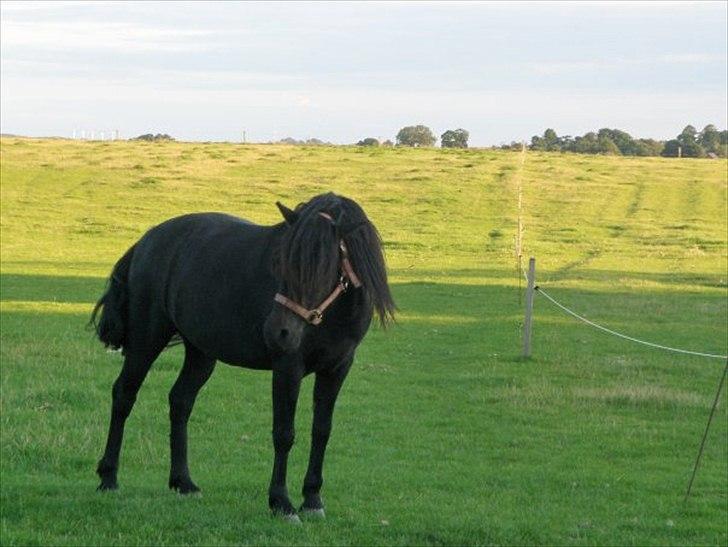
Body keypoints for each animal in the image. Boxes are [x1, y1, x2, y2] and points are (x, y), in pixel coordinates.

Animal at [90, 192, 395, 520]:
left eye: (322, 267)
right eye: (281, 262)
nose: (277, 331)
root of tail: (148, 239)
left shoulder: (337, 368)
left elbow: (322, 431)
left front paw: (313, 500)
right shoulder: (288, 367)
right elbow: (284, 433)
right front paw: (281, 502)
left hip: (201, 352)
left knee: (180, 401)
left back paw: (183, 482)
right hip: (147, 340)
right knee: (124, 394)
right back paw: (108, 477)